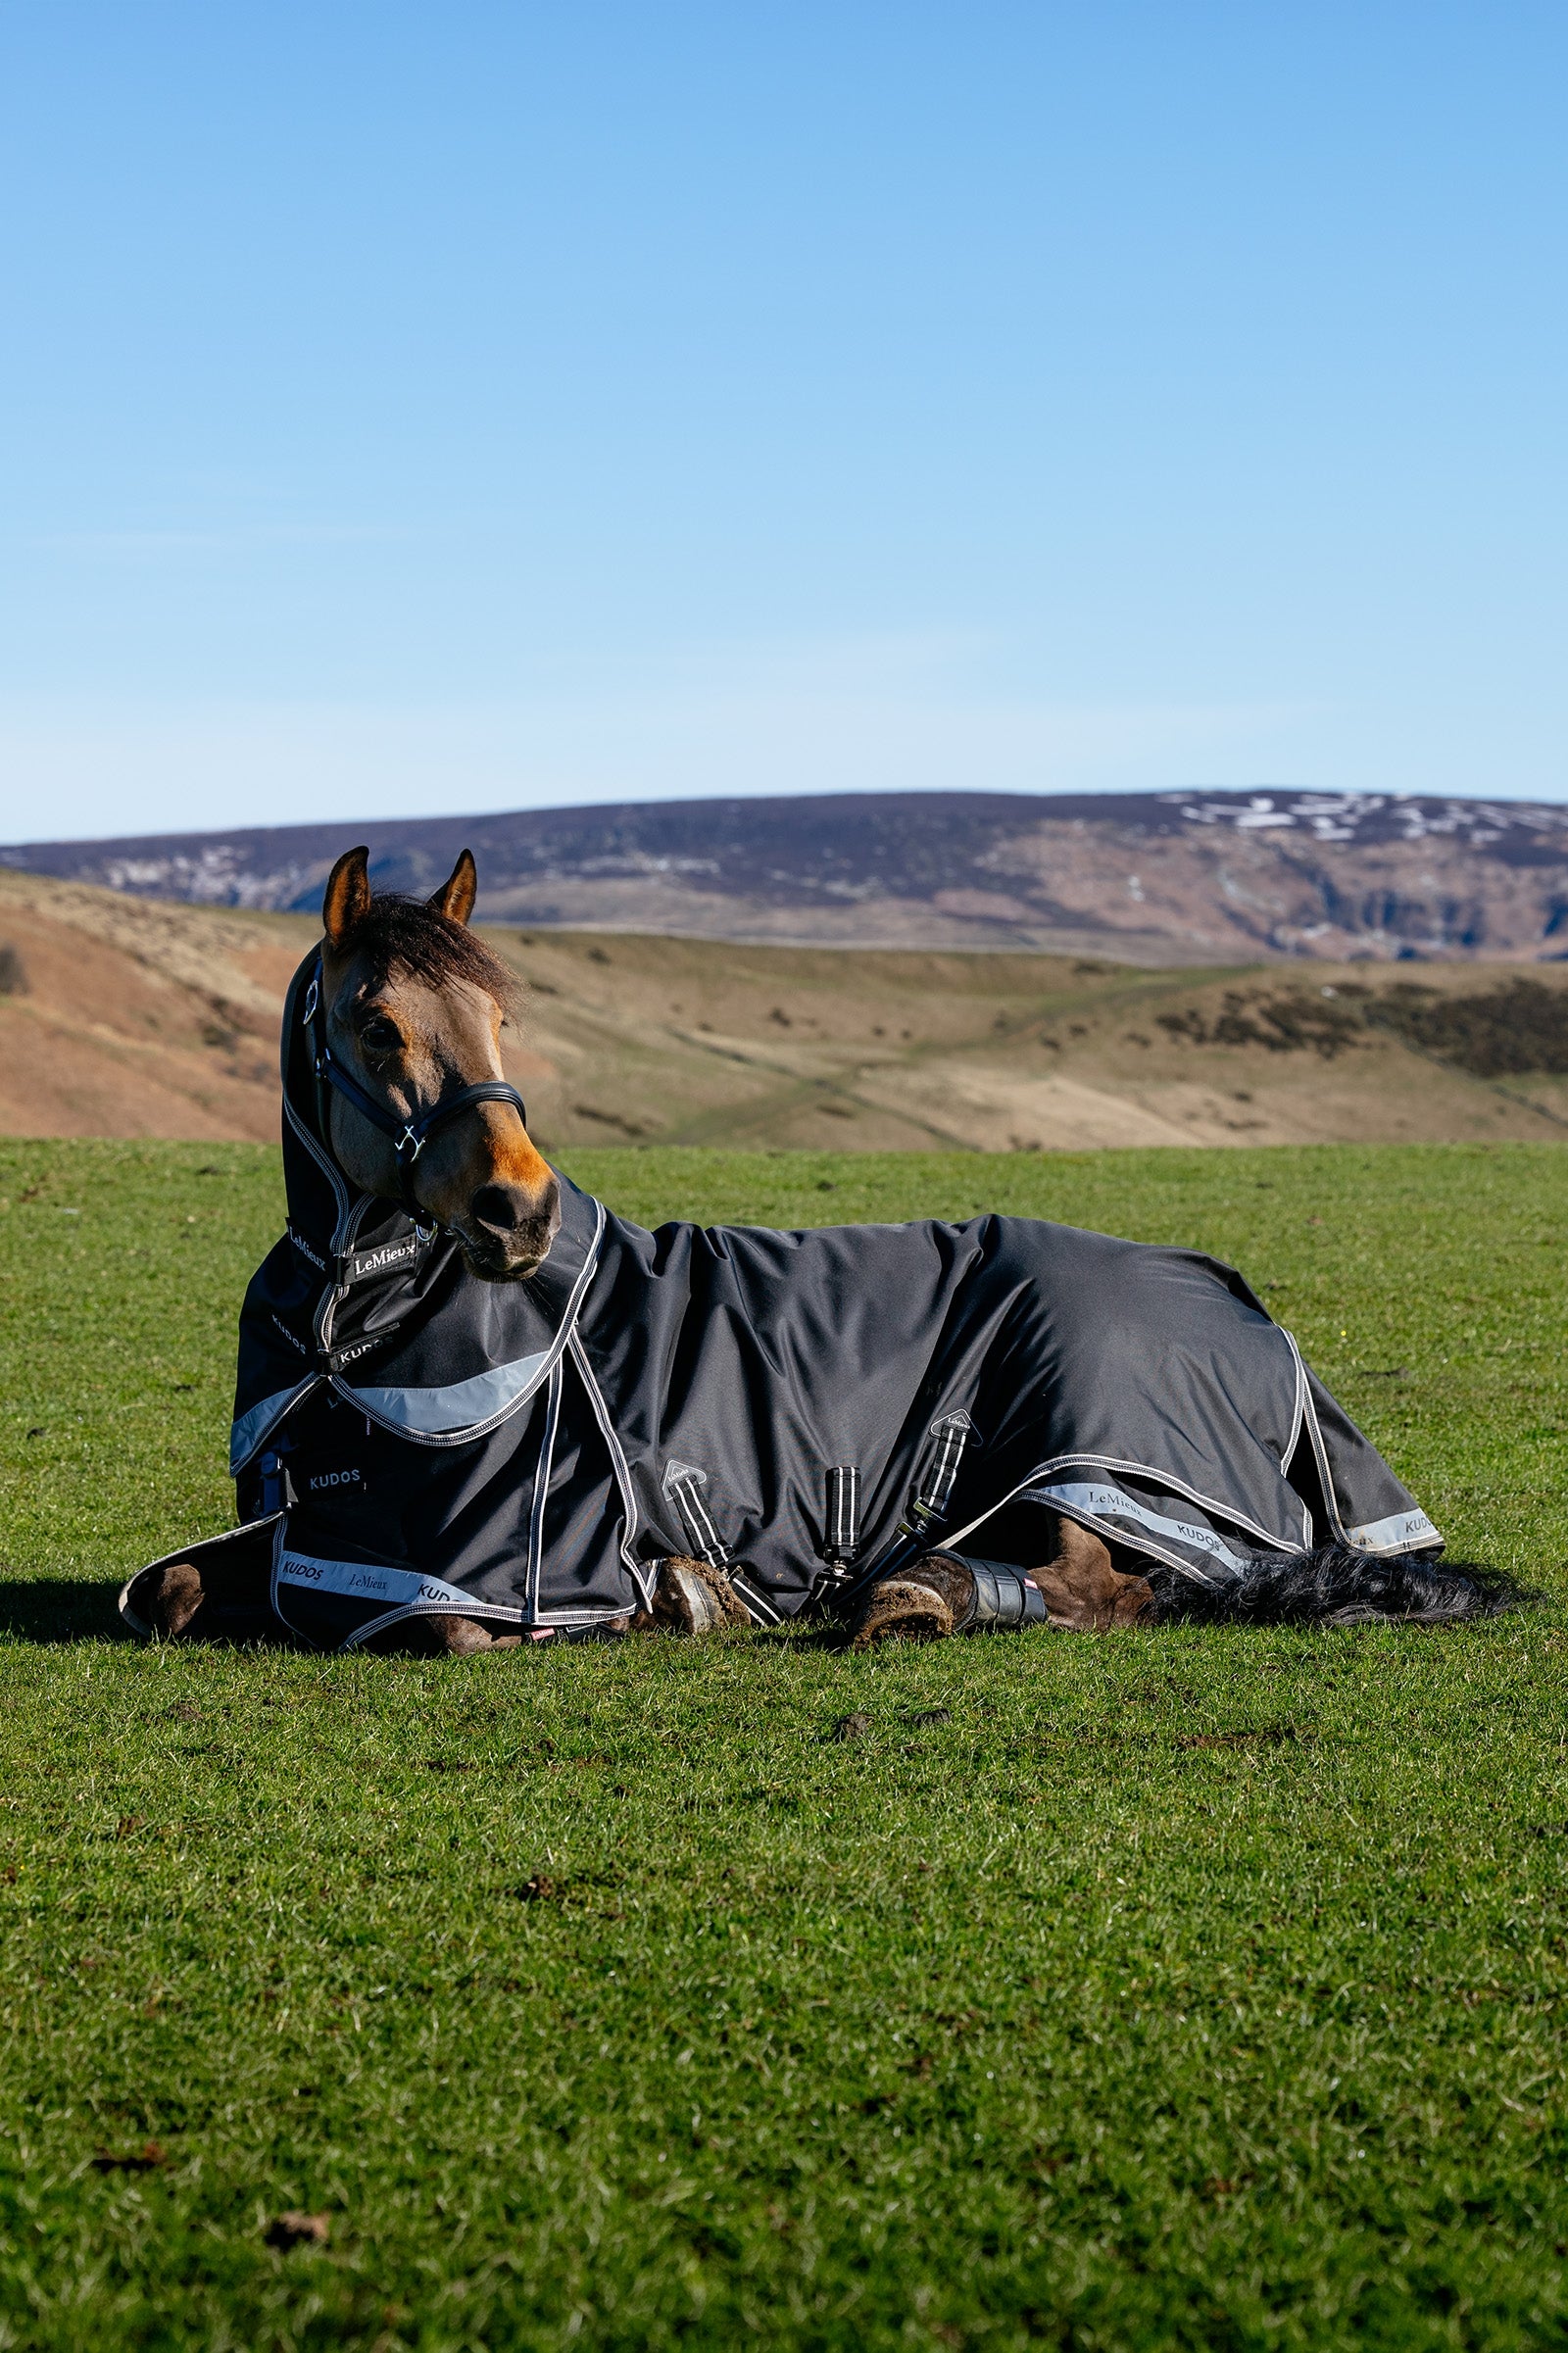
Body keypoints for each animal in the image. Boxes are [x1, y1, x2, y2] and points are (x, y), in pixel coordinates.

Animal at [122, 845, 1503, 1656]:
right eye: (377, 1023)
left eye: (501, 1015)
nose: (522, 1209)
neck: (354, 1337)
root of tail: (1248, 1307)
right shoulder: (320, 1549)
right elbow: (165, 1593)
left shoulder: (502, 1582)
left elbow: (456, 1630)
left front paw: (678, 1594)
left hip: (1109, 1460)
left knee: (1107, 1580)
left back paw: (910, 1592)